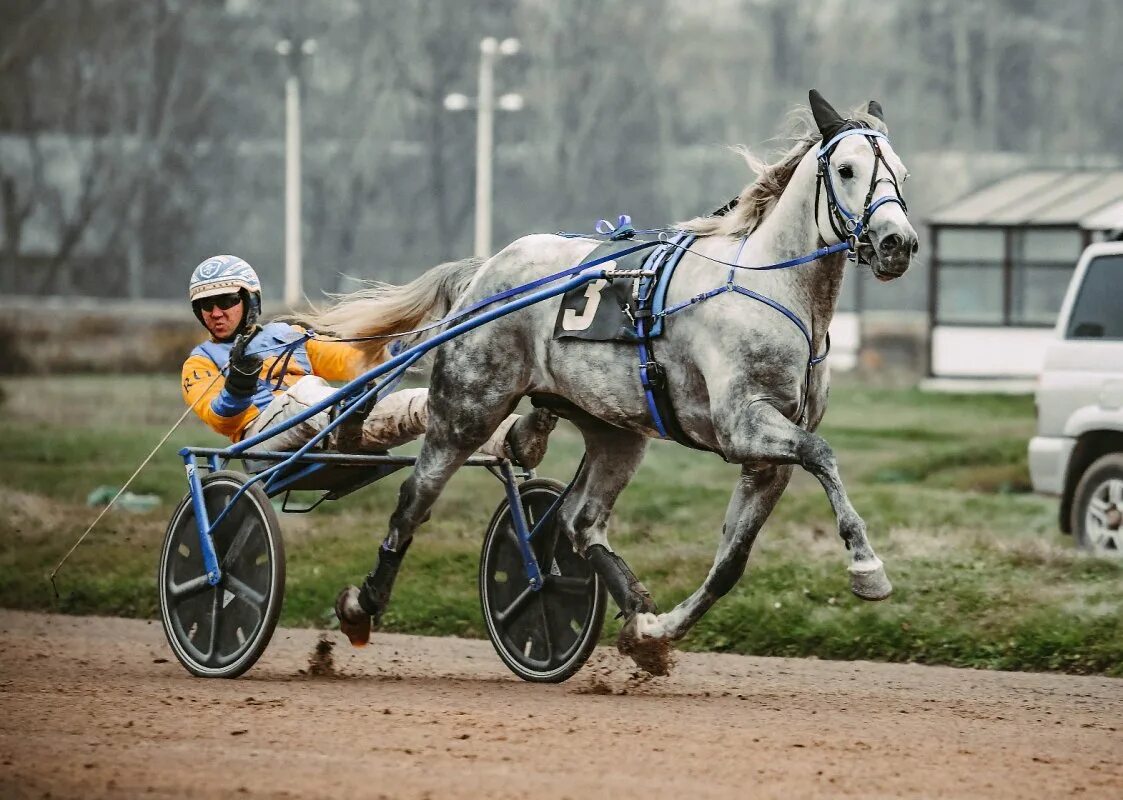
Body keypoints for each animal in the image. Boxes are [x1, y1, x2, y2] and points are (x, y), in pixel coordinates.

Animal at [312, 90, 916, 669]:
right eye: (847, 169)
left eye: (902, 174)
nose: (898, 243)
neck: (768, 290)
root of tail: (485, 271)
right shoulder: (742, 425)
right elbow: (822, 453)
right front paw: (867, 567)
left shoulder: (767, 459)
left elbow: (731, 563)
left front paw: (655, 633)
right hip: (468, 404)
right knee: (415, 496)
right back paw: (362, 605)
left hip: (616, 431)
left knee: (579, 520)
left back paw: (632, 607)